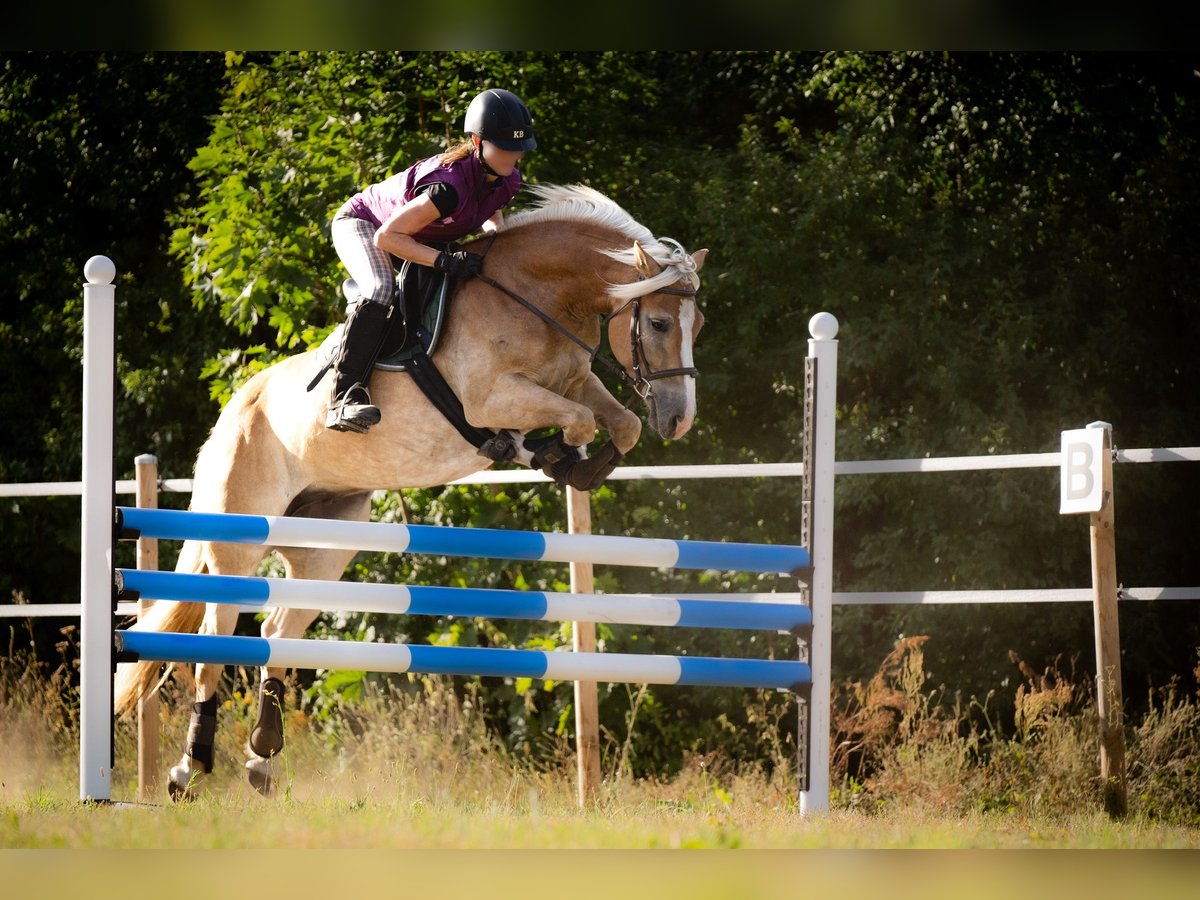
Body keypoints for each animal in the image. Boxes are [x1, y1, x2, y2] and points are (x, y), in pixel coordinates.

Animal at [112, 184, 705, 801]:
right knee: (216, 640)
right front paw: (546, 453)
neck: (537, 295)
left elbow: (617, 423)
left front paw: (570, 464)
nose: (680, 420)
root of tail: (232, 411)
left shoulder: (574, 381)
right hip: (237, 538)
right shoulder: (493, 399)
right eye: (659, 324)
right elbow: (580, 421)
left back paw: (262, 759)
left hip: (325, 542)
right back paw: (189, 769)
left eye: (699, 324)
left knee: (278, 630)